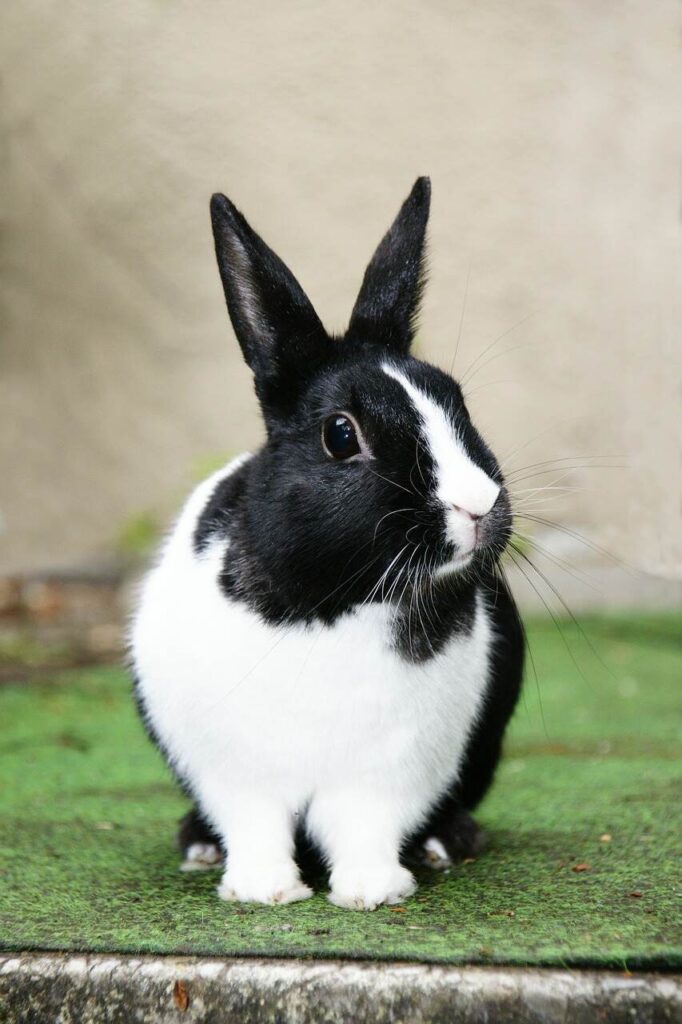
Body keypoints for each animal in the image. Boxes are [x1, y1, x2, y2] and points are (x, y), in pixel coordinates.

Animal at [130, 180, 522, 909]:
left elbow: (365, 828)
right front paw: (263, 890)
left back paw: (446, 842)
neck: (333, 601)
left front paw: (371, 891)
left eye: (458, 402)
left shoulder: (388, 772)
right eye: (341, 435)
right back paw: (198, 846)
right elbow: (255, 827)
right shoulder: (237, 773)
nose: (479, 505)